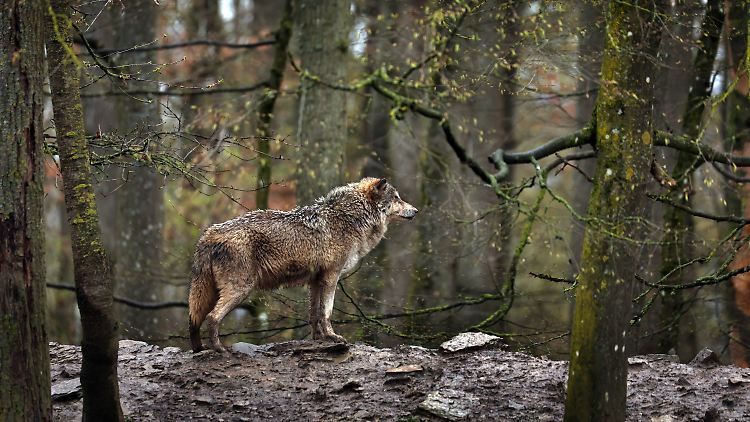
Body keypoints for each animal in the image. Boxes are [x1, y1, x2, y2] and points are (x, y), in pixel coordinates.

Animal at [188, 177, 418, 352]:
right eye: (396, 198)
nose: (415, 210)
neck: (350, 218)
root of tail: (208, 235)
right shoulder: (331, 277)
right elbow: (327, 312)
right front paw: (334, 337)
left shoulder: (315, 281)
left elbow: (314, 314)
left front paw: (319, 340)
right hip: (240, 289)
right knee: (212, 317)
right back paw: (220, 349)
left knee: (194, 319)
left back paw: (199, 349)